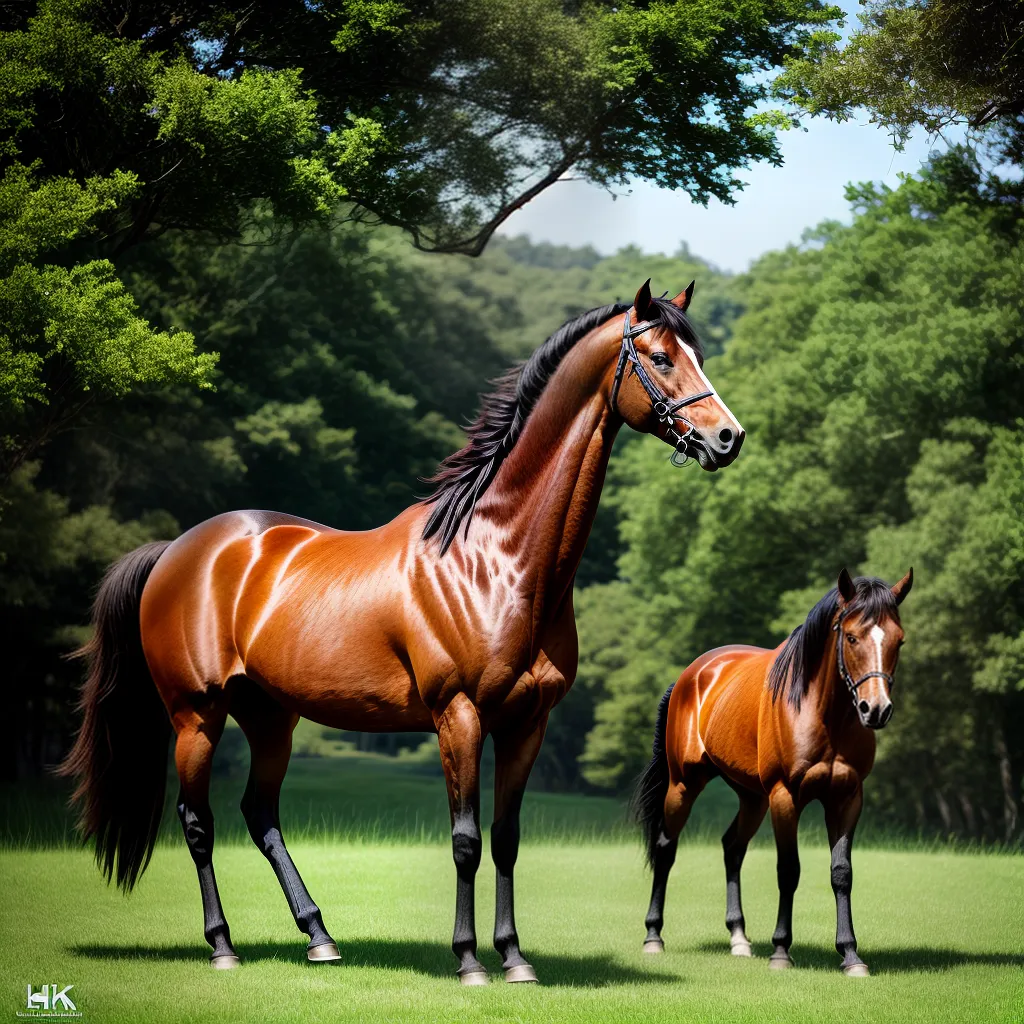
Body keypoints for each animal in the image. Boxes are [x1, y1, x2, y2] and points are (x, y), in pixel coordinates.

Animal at [59, 279, 744, 985]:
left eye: (698, 354)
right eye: (661, 358)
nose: (728, 438)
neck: (496, 557)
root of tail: (176, 551)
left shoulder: (526, 723)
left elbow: (506, 840)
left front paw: (514, 957)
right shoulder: (458, 716)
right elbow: (466, 840)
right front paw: (469, 960)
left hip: (270, 717)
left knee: (261, 814)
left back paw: (319, 936)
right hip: (196, 716)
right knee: (198, 823)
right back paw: (223, 945)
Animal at [633, 568, 913, 976]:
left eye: (899, 639)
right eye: (851, 636)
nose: (875, 709)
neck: (821, 713)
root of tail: (692, 675)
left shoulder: (847, 798)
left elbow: (841, 873)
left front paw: (850, 955)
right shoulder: (785, 797)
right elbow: (788, 870)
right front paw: (781, 950)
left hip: (752, 798)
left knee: (732, 848)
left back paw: (739, 938)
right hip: (684, 784)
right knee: (666, 848)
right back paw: (653, 936)